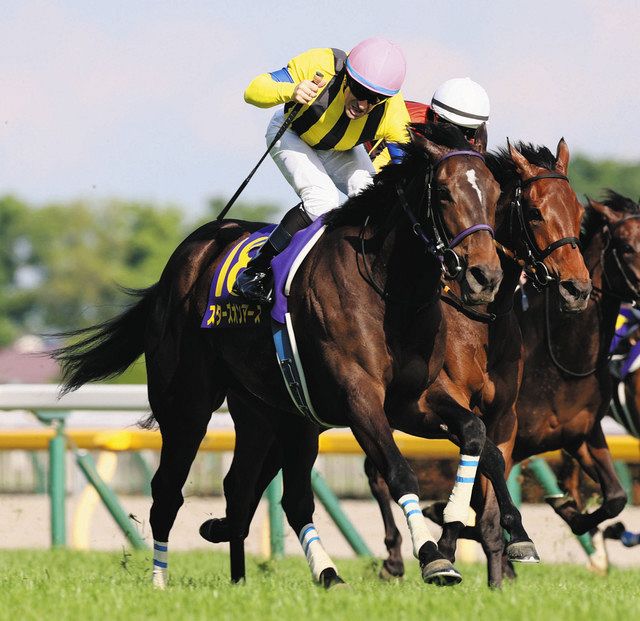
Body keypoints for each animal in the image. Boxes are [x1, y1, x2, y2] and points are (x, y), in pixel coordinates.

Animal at [55, 123, 502, 588]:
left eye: (495, 192)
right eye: (445, 192)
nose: (485, 277)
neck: (388, 289)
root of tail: (186, 256)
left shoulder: (412, 401)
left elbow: (474, 431)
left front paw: (455, 516)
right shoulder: (359, 397)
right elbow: (399, 470)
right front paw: (433, 557)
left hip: (272, 412)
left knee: (262, 491)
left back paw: (302, 574)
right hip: (186, 404)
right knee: (168, 490)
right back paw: (160, 580)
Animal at [360, 137, 592, 588]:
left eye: (578, 211)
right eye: (534, 212)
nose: (578, 288)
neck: (481, 322)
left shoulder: (504, 416)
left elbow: (489, 488)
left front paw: (501, 570)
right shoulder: (437, 406)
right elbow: (482, 463)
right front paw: (449, 542)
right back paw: (396, 556)